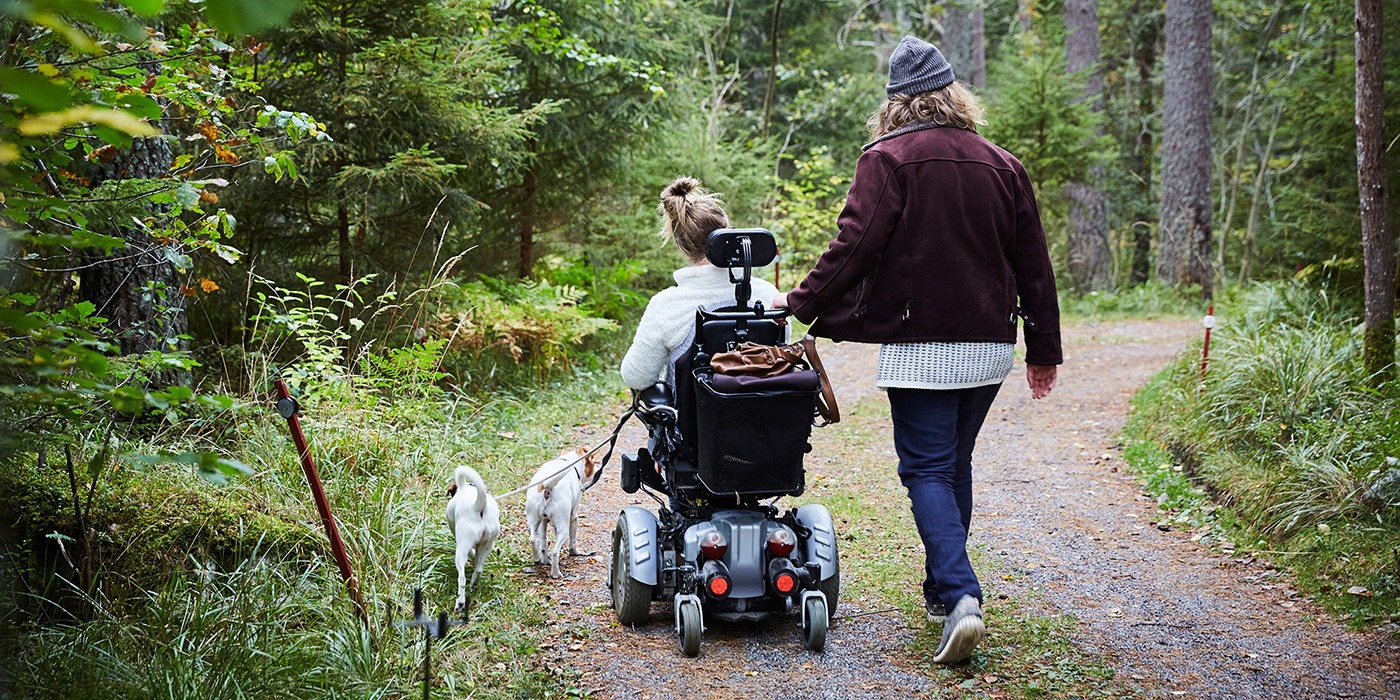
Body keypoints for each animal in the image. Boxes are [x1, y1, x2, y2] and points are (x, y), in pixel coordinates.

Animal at [445, 464, 501, 613]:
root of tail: (479, 505)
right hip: (488, 544)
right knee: (479, 569)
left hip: (461, 550)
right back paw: (474, 585)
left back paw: (460, 603)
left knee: (462, 578)